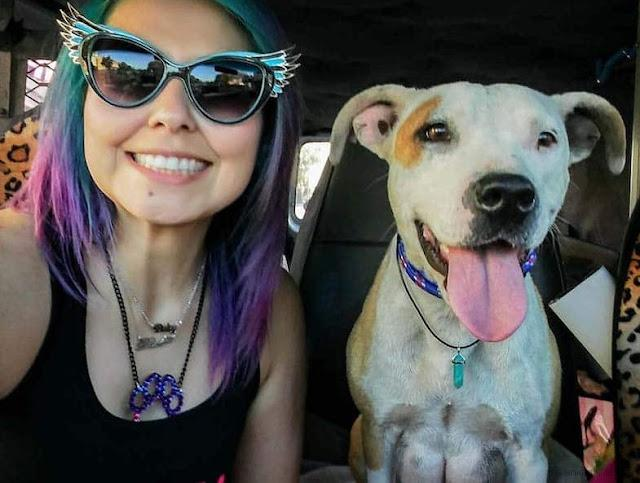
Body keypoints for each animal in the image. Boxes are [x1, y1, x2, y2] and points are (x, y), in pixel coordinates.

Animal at [329, 82, 626, 482]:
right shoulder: (379, 439)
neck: (452, 329)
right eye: (435, 132)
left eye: (546, 139)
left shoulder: (529, 453)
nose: (510, 195)